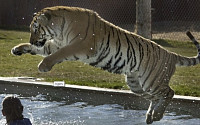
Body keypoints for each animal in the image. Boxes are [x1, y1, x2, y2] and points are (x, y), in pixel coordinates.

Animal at [10, 6, 200, 124]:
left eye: (35, 29)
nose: (31, 39)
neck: (59, 29)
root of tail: (171, 54)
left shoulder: (78, 45)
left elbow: (56, 55)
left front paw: (43, 65)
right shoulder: (56, 44)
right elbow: (41, 49)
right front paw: (17, 49)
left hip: (151, 80)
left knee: (169, 93)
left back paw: (158, 115)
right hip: (137, 85)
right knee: (156, 98)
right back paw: (150, 117)